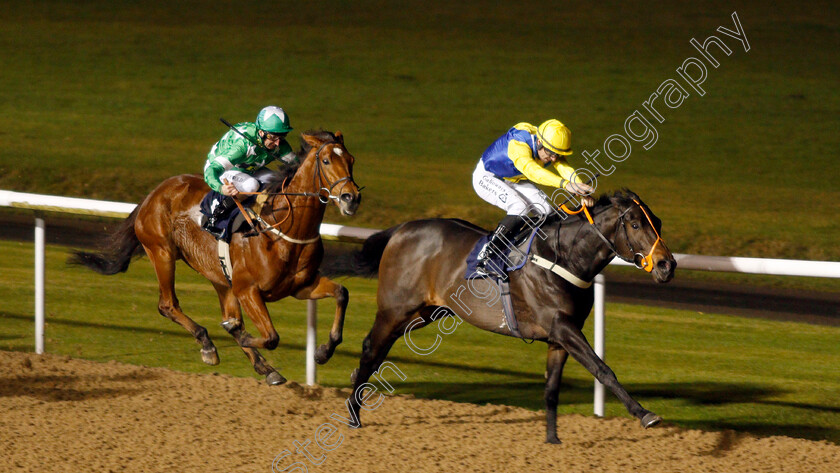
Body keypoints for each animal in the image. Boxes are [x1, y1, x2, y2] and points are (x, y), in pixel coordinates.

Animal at [70, 129, 360, 384]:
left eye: (351, 160)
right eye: (326, 160)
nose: (351, 198)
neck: (283, 227)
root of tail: (155, 191)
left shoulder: (301, 286)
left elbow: (342, 293)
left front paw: (323, 351)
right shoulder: (248, 290)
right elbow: (270, 337)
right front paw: (238, 334)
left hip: (220, 279)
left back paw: (265, 368)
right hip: (162, 252)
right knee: (168, 305)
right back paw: (208, 345)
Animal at [326, 188, 676, 442]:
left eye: (658, 222)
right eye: (635, 224)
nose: (667, 265)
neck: (564, 257)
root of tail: (402, 229)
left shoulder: (559, 337)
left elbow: (552, 388)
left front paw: (552, 439)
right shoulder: (563, 328)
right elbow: (604, 370)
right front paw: (645, 414)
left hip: (423, 313)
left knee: (379, 351)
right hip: (395, 309)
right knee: (371, 348)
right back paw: (350, 407)